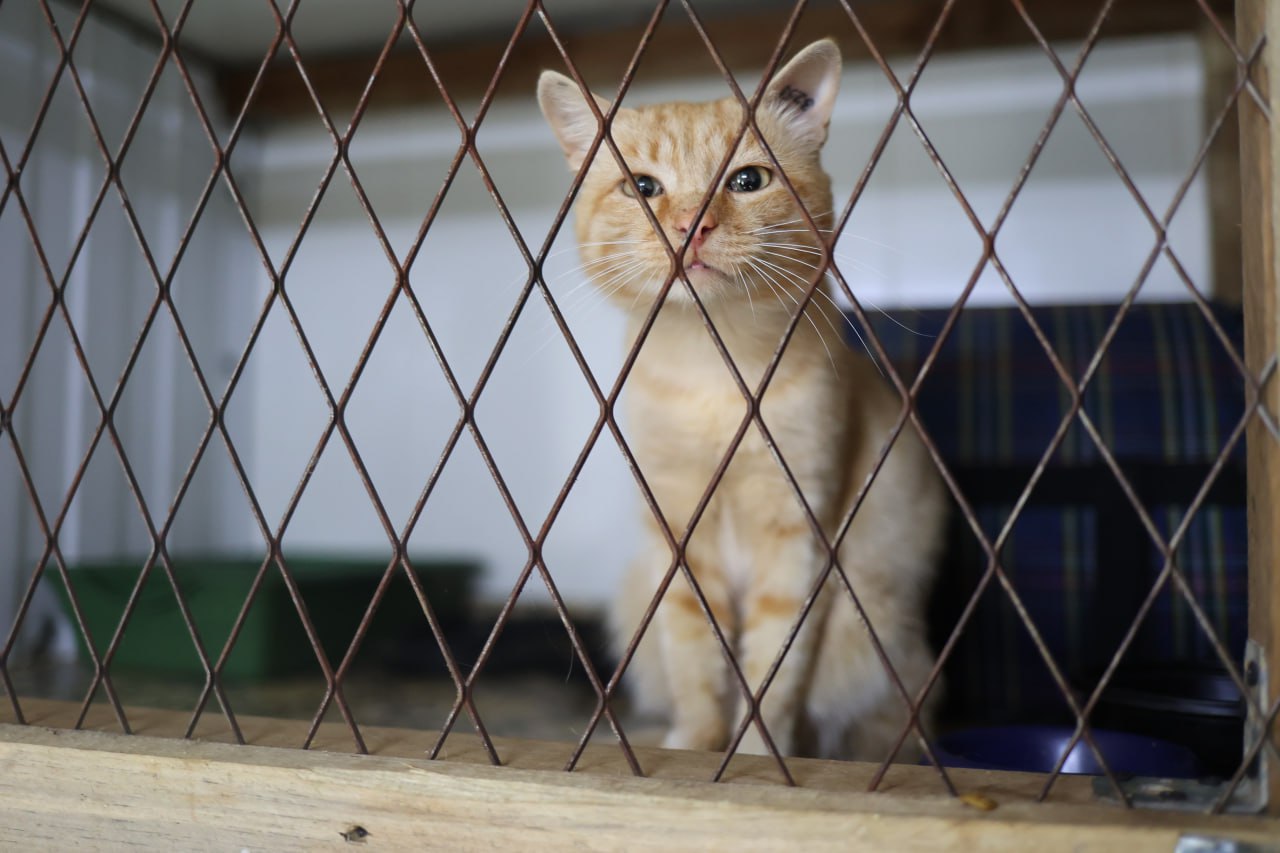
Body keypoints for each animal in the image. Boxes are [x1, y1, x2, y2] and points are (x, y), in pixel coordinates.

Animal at [535, 38, 947, 758]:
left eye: (747, 181)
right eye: (642, 187)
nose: (690, 225)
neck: (713, 377)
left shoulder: (799, 529)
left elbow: (772, 668)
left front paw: (755, 755)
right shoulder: (675, 527)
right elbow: (694, 652)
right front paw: (697, 746)